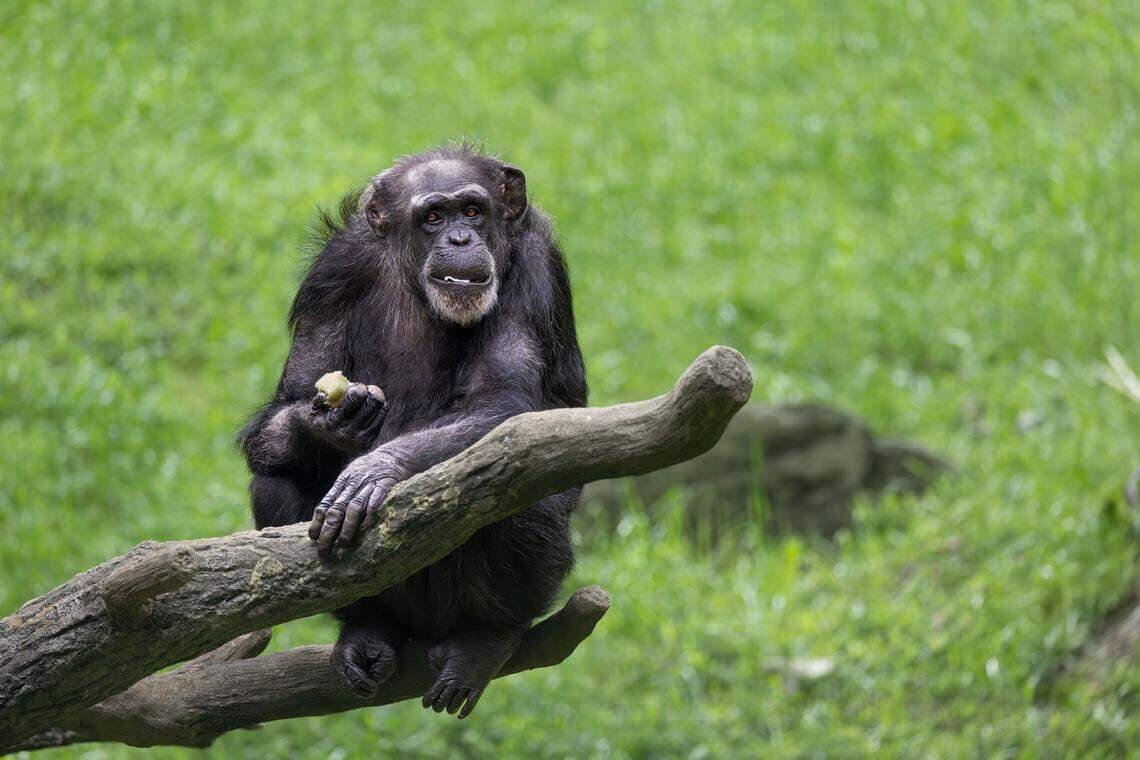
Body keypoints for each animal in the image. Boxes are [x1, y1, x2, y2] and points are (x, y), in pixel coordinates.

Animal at [238, 143, 586, 718]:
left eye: (473, 211)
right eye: (433, 217)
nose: (460, 239)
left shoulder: (535, 267)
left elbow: (503, 406)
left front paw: (374, 471)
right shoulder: (333, 272)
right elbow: (285, 404)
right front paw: (327, 421)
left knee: (524, 494)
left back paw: (484, 641)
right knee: (274, 480)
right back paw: (366, 629)